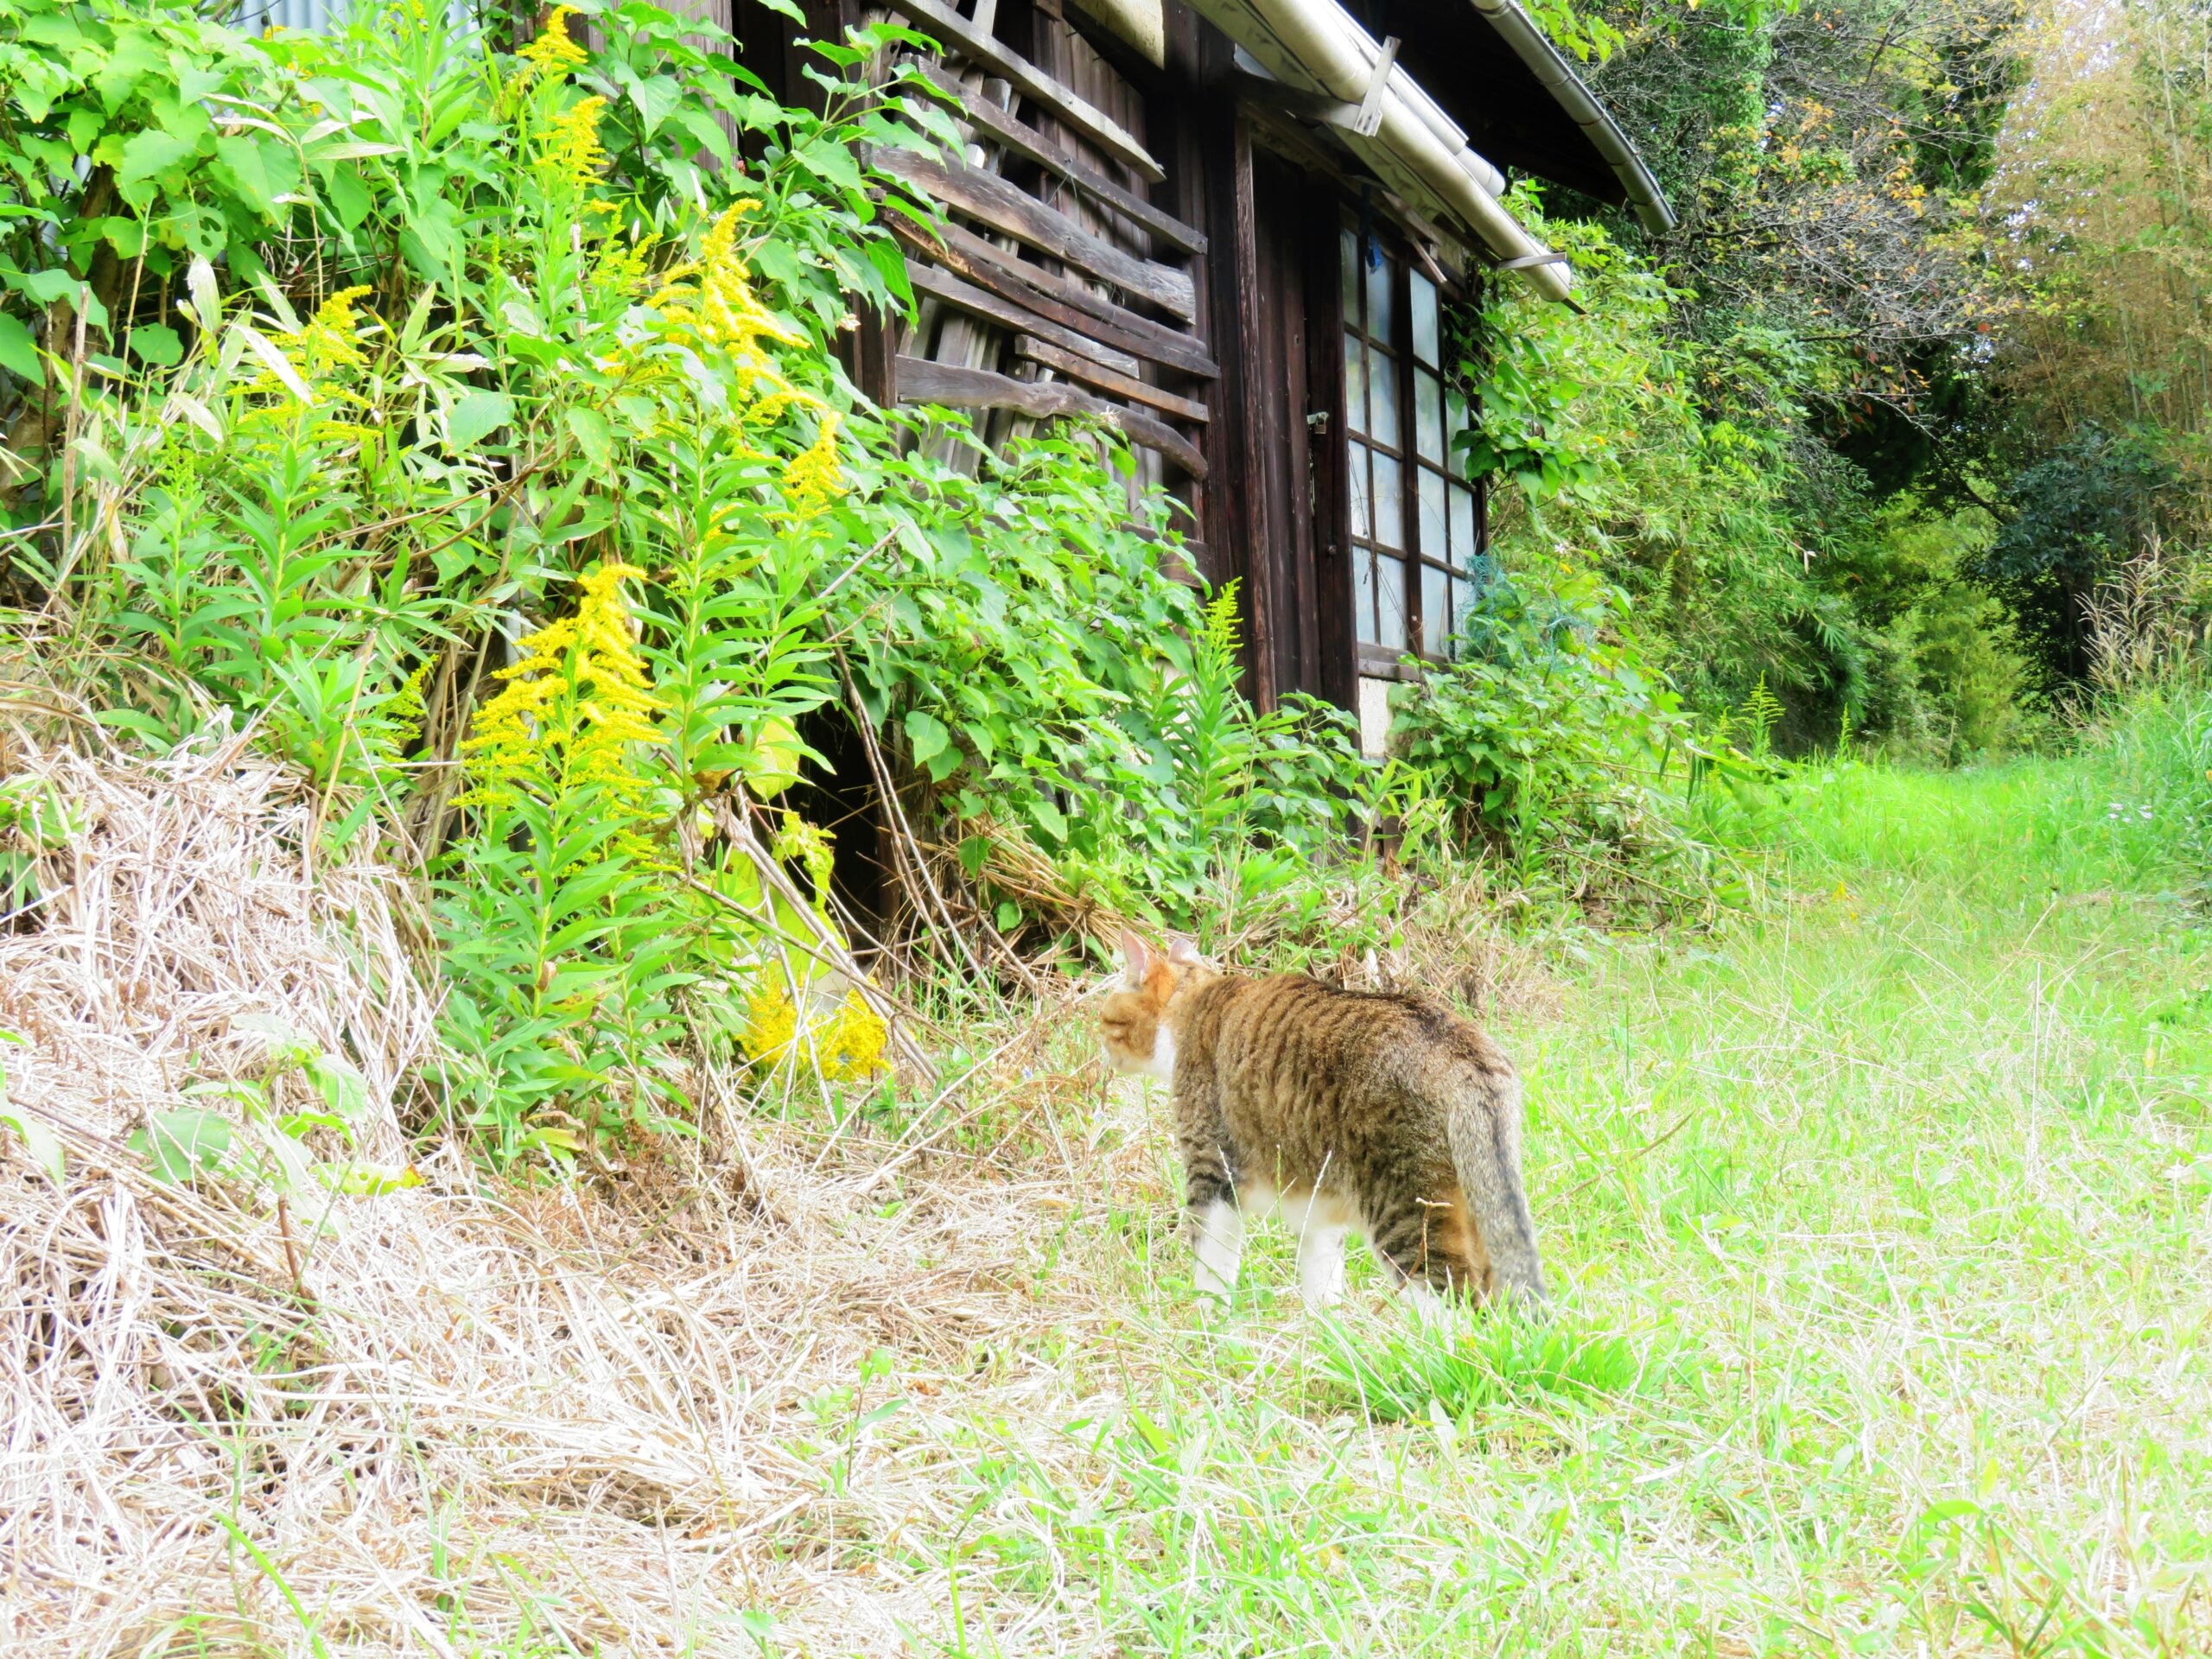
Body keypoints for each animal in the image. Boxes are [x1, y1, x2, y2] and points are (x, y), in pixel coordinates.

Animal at [1096, 938, 1548, 1309]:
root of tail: (1465, 1053)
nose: (1098, 1046)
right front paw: (1323, 1339)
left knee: (1456, 1304)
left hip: (1404, 1212)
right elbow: (1321, 1280)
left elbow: (1211, 1271)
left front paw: (1211, 1335)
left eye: (1104, 1018)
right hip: (1481, 1205)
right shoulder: (1319, 1206)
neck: (1195, 1004)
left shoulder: (1210, 1176)